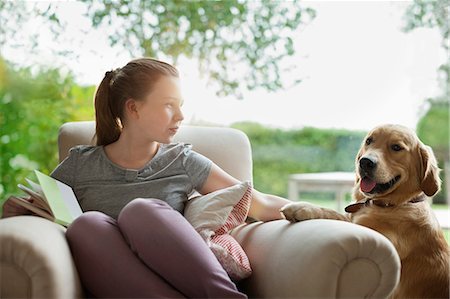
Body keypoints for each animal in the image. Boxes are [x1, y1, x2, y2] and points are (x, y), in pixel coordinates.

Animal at [282, 125, 450, 299]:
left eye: (396, 147)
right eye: (369, 141)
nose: (365, 162)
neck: (393, 204)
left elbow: (337, 216)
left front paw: (301, 208)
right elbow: (336, 213)